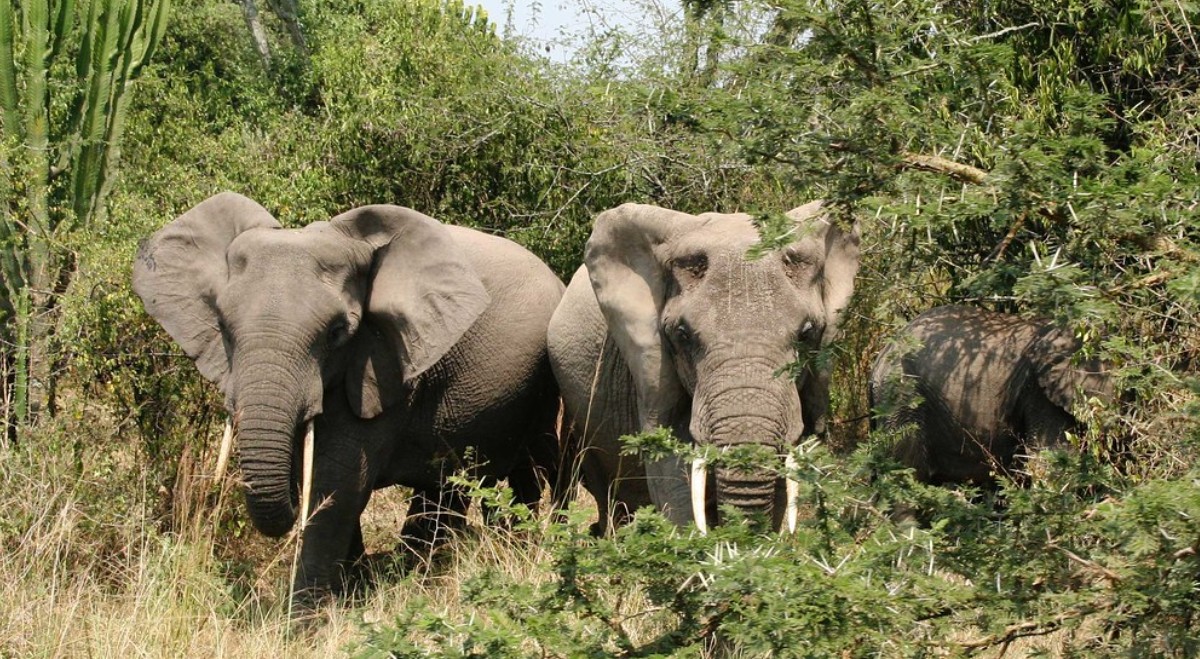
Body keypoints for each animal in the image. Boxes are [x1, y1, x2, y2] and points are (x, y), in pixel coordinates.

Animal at [132, 192, 564, 600]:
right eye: (222, 325)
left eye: (338, 332)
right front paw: (352, 591)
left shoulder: (385, 366)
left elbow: (337, 485)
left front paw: (307, 618)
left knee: (531, 468)